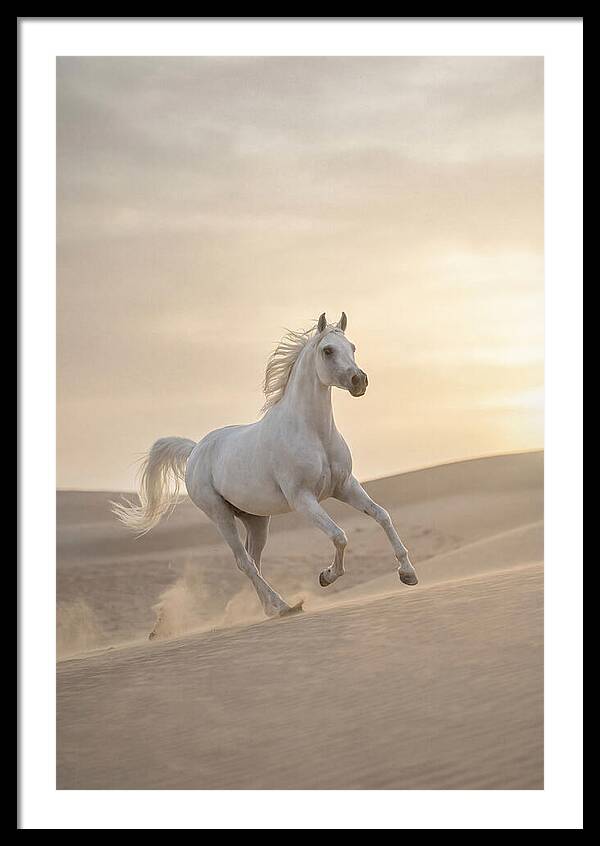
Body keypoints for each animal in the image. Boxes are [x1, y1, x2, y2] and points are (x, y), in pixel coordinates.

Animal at [112, 312, 418, 620]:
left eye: (352, 347)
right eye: (328, 350)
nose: (359, 381)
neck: (314, 433)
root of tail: (196, 449)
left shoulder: (344, 486)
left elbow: (381, 515)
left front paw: (408, 574)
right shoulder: (303, 499)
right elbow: (339, 535)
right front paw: (326, 576)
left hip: (256, 520)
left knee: (254, 560)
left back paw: (271, 608)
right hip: (219, 515)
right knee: (244, 562)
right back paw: (283, 606)